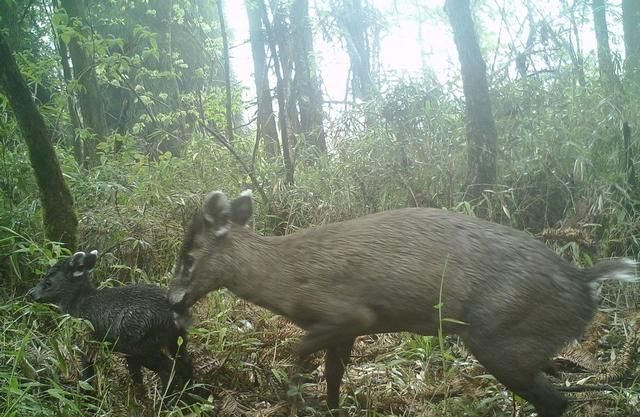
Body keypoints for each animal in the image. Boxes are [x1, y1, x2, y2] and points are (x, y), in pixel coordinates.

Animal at [168, 189, 636, 416]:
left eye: (188, 258)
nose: (172, 301)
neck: (284, 277)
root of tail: (583, 282)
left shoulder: (346, 313)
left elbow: (299, 353)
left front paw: (294, 397)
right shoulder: (347, 329)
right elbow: (334, 375)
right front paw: (330, 407)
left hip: (502, 337)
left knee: (555, 402)